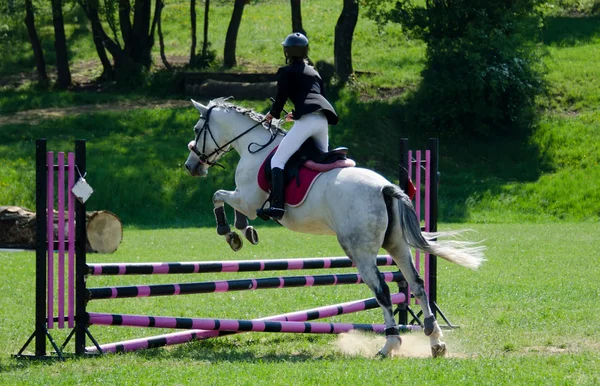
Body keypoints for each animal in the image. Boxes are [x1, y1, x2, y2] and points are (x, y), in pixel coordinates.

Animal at [185, 98, 486, 358]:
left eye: (198, 130)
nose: (191, 166)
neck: (254, 144)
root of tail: (385, 187)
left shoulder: (247, 199)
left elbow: (218, 196)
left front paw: (231, 232)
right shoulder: (246, 199)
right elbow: (227, 202)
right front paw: (244, 231)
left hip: (359, 250)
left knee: (382, 290)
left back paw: (389, 344)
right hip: (397, 245)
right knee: (416, 284)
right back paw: (435, 341)